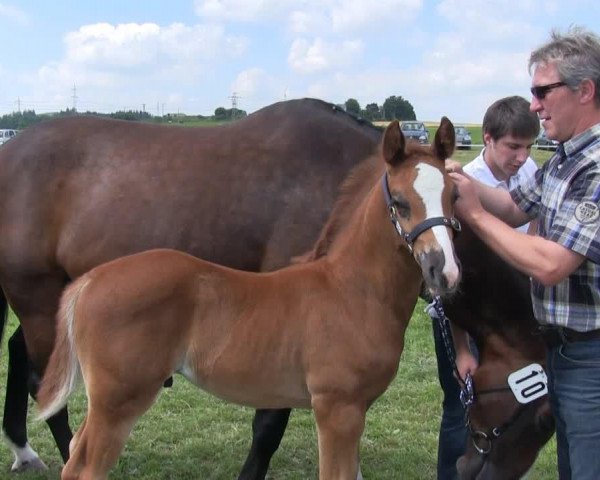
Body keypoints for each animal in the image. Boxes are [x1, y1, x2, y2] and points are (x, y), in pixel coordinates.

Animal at [37, 118, 460, 478]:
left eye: (454, 195)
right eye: (400, 202)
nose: (443, 270)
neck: (351, 290)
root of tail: (90, 280)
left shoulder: (355, 411)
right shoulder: (336, 409)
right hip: (117, 402)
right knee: (83, 468)